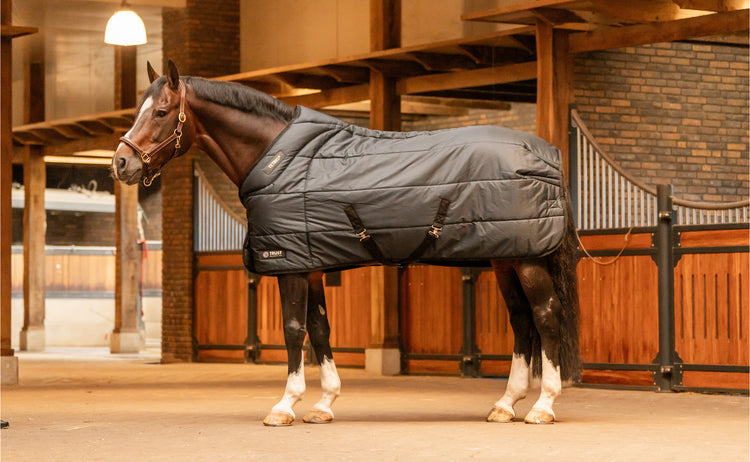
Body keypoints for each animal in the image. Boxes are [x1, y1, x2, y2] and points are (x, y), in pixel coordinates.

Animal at [111, 60, 581, 426]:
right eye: (139, 110)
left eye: (162, 112)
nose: (121, 163)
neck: (278, 156)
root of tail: (549, 153)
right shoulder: (312, 264)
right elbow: (320, 329)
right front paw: (324, 404)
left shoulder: (291, 265)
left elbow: (293, 330)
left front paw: (285, 405)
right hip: (506, 258)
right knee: (522, 322)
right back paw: (505, 404)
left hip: (527, 260)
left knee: (546, 318)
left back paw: (543, 406)